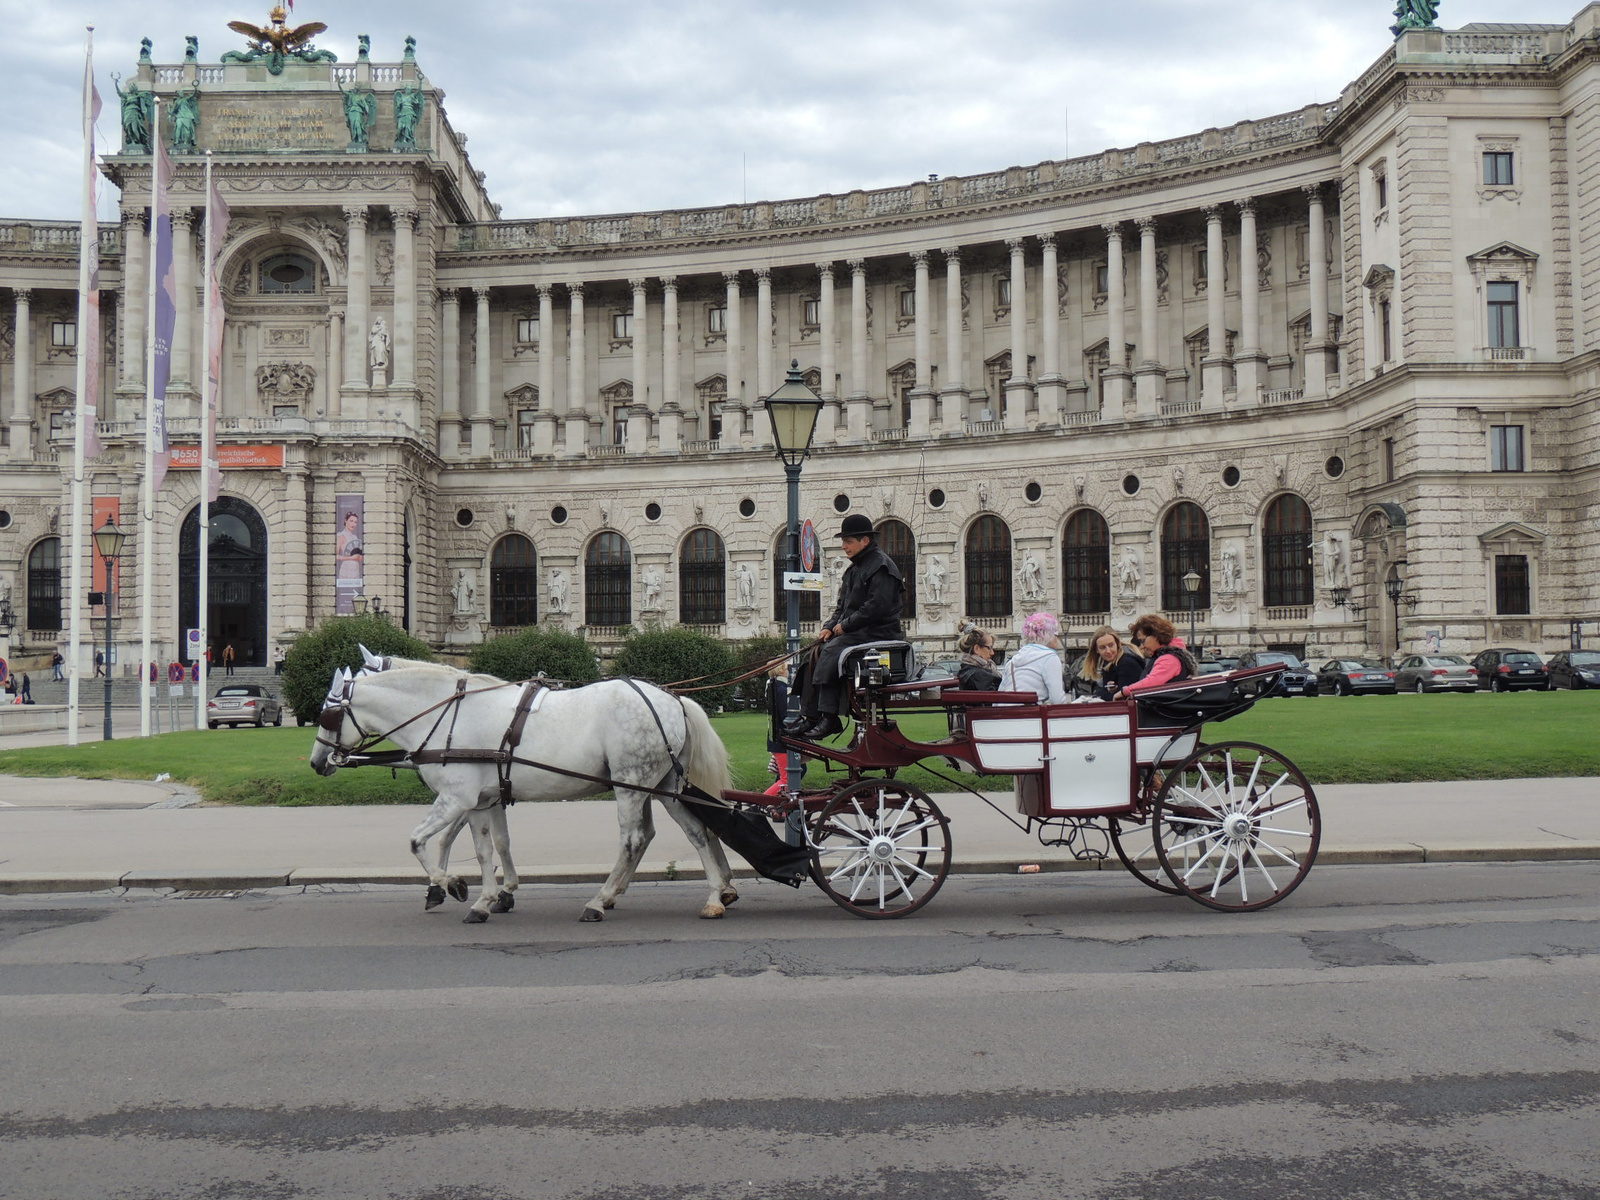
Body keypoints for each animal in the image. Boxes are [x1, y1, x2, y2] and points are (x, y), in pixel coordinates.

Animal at [308, 662, 739, 928]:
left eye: (327, 714)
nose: (316, 761)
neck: (446, 716)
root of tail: (671, 698)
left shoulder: (455, 799)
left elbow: (417, 841)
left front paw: (451, 885)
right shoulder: (482, 801)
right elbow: (488, 849)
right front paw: (486, 899)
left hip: (631, 784)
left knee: (633, 840)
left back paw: (599, 900)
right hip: (662, 786)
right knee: (696, 832)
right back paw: (714, 894)